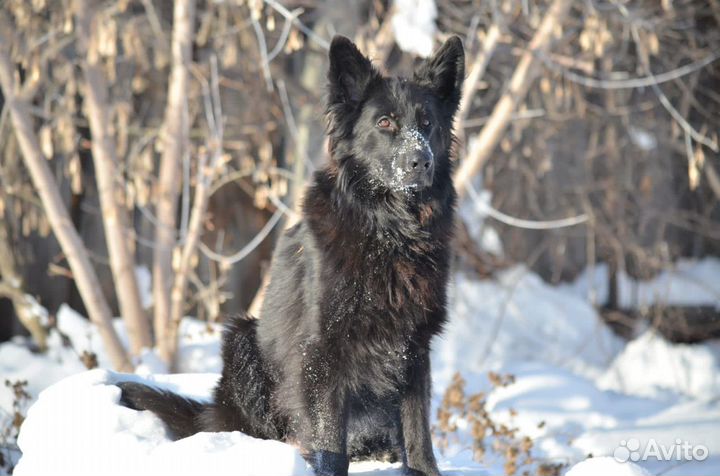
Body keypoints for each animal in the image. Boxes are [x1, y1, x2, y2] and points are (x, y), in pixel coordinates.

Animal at [121, 34, 464, 476]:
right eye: (385, 123)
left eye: (427, 124)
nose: (420, 161)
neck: (390, 232)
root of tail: (216, 412)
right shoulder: (323, 349)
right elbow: (330, 438)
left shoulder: (414, 346)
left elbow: (418, 429)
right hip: (242, 340)